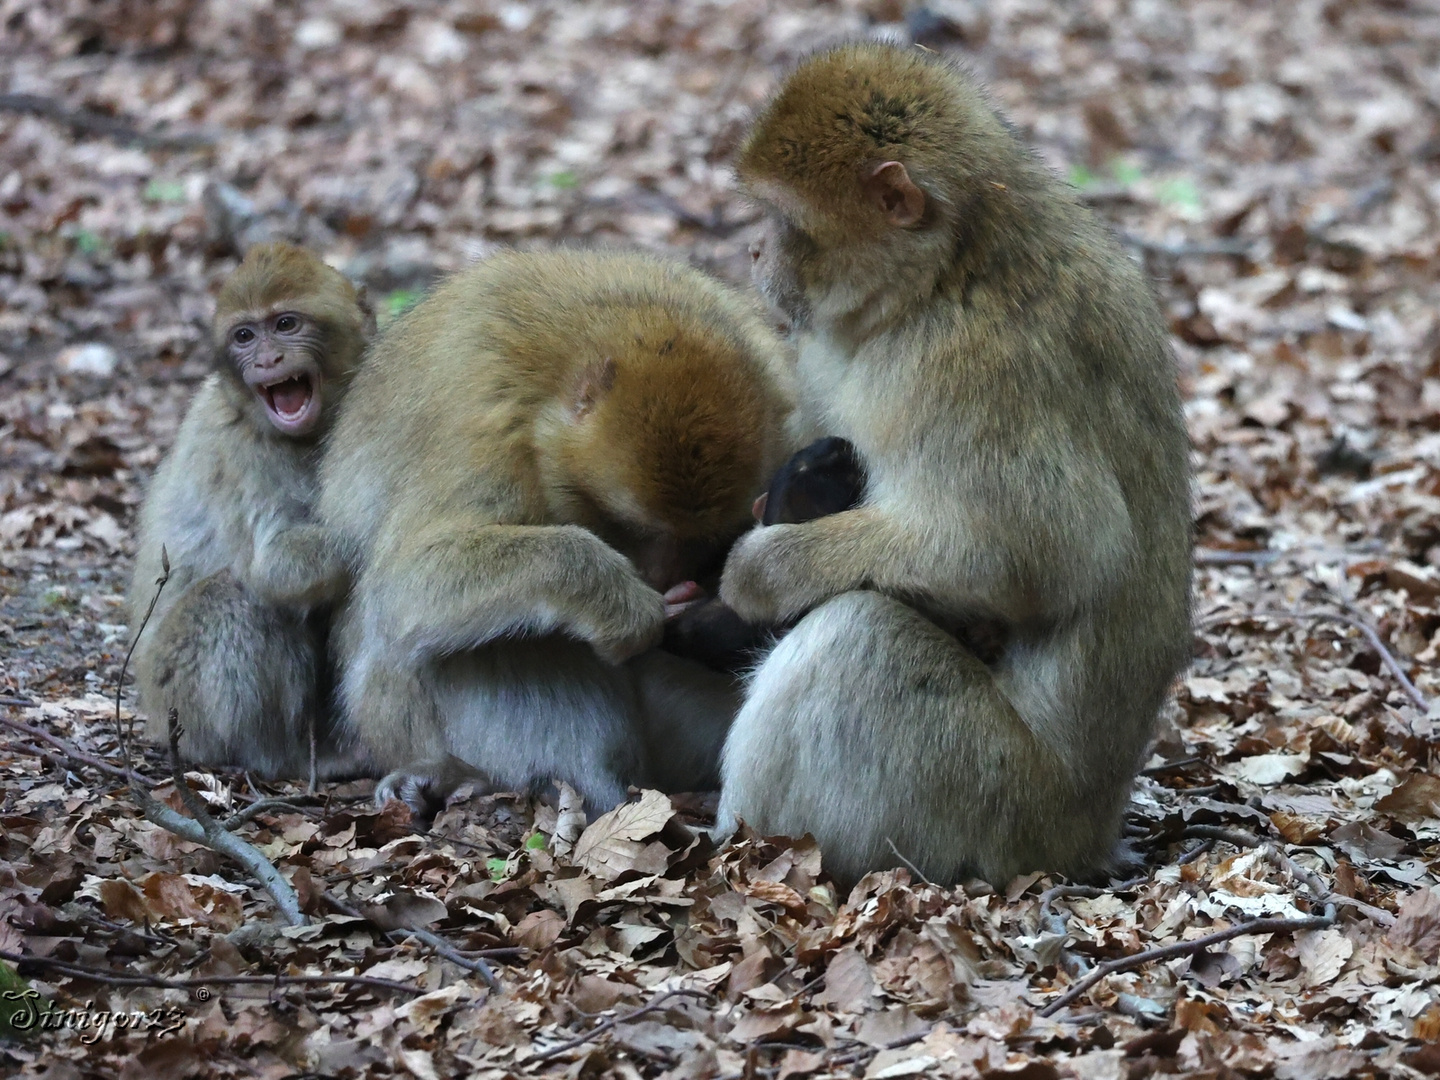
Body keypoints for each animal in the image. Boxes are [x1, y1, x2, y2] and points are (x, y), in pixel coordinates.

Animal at [126, 244, 371, 783]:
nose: (266, 359)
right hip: (181, 706)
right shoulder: (241, 452)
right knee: (234, 596)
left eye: (285, 324)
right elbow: (271, 567)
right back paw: (281, 756)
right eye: (244, 336)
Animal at [318, 249, 800, 817]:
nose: (663, 579)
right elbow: (403, 585)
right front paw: (617, 598)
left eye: (703, 541)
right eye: (630, 528)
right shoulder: (481, 423)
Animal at [714, 44, 1198, 887]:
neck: (946, 271)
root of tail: (1086, 838)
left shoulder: (973, 367)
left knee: (858, 638)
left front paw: (761, 572)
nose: (753, 249)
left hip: (991, 803)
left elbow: (1046, 551)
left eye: (783, 217)